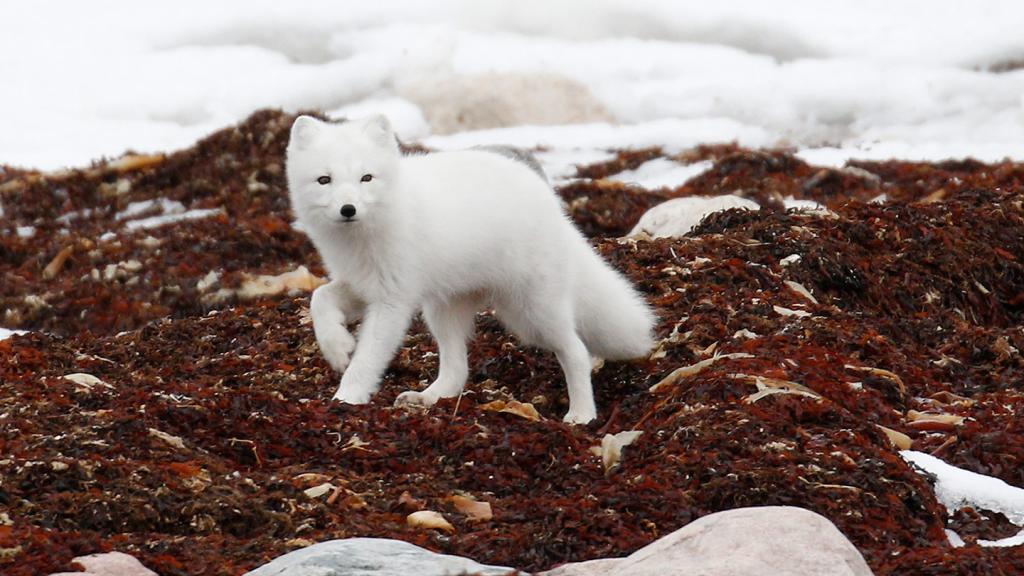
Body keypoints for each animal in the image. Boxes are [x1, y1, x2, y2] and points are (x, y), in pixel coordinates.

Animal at [286, 115, 655, 423]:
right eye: (324, 180)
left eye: (366, 178)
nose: (348, 209)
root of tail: (552, 204)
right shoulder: (361, 284)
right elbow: (320, 298)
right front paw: (337, 348)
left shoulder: (393, 300)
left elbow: (367, 358)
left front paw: (346, 397)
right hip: (443, 309)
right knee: (456, 370)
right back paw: (428, 396)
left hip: (532, 312)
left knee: (576, 351)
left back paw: (581, 414)